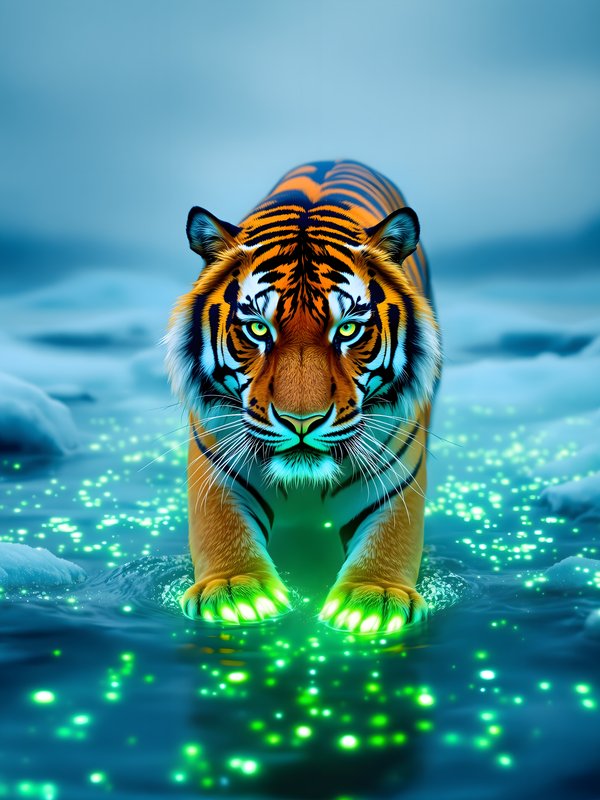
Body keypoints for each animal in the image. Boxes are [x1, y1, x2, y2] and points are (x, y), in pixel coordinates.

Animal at [165, 160, 442, 634]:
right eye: (258, 328)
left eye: (347, 329)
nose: (301, 422)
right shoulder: (216, 467)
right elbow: (221, 527)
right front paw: (237, 592)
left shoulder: (398, 476)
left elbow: (391, 536)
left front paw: (374, 600)